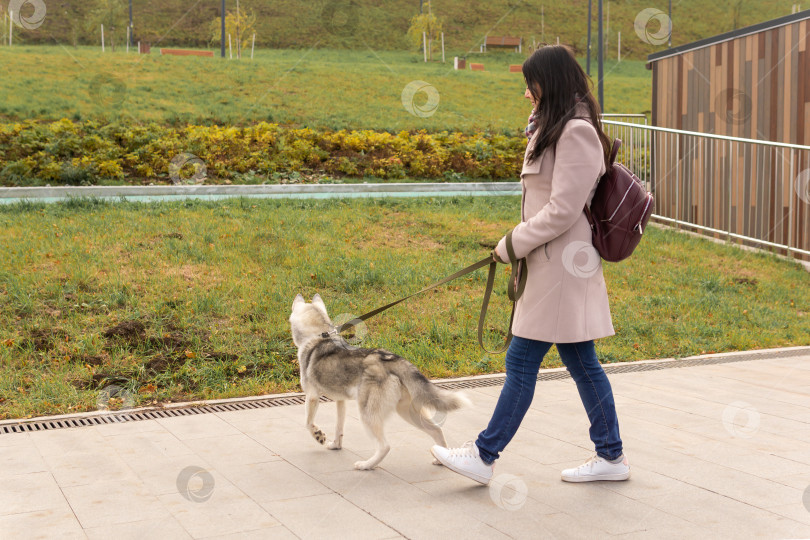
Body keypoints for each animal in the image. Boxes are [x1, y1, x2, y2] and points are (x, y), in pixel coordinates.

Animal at [288, 294, 468, 470]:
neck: (318, 335)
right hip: (407, 412)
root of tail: (393, 359)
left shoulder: (312, 396)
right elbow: (339, 427)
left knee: (385, 446)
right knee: (437, 430)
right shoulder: (341, 401)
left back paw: (366, 465)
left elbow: (308, 423)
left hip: (368, 414)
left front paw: (319, 436)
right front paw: (335, 445)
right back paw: (442, 459)